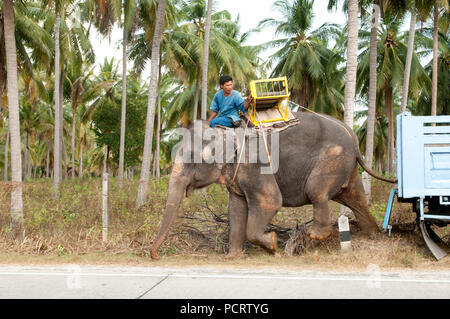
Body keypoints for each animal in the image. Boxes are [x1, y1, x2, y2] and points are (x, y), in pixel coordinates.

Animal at [149, 112, 396, 260]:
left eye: (190, 156)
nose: (155, 255)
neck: (225, 130)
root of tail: (351, 133)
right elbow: (236, 209)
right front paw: (232, 258)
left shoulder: (257, 166)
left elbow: (270, 202)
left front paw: (273, 244)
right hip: (346, 166)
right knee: (354, 197)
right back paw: (372, 235)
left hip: (332, 159)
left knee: (316, 191)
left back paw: (313, 234)